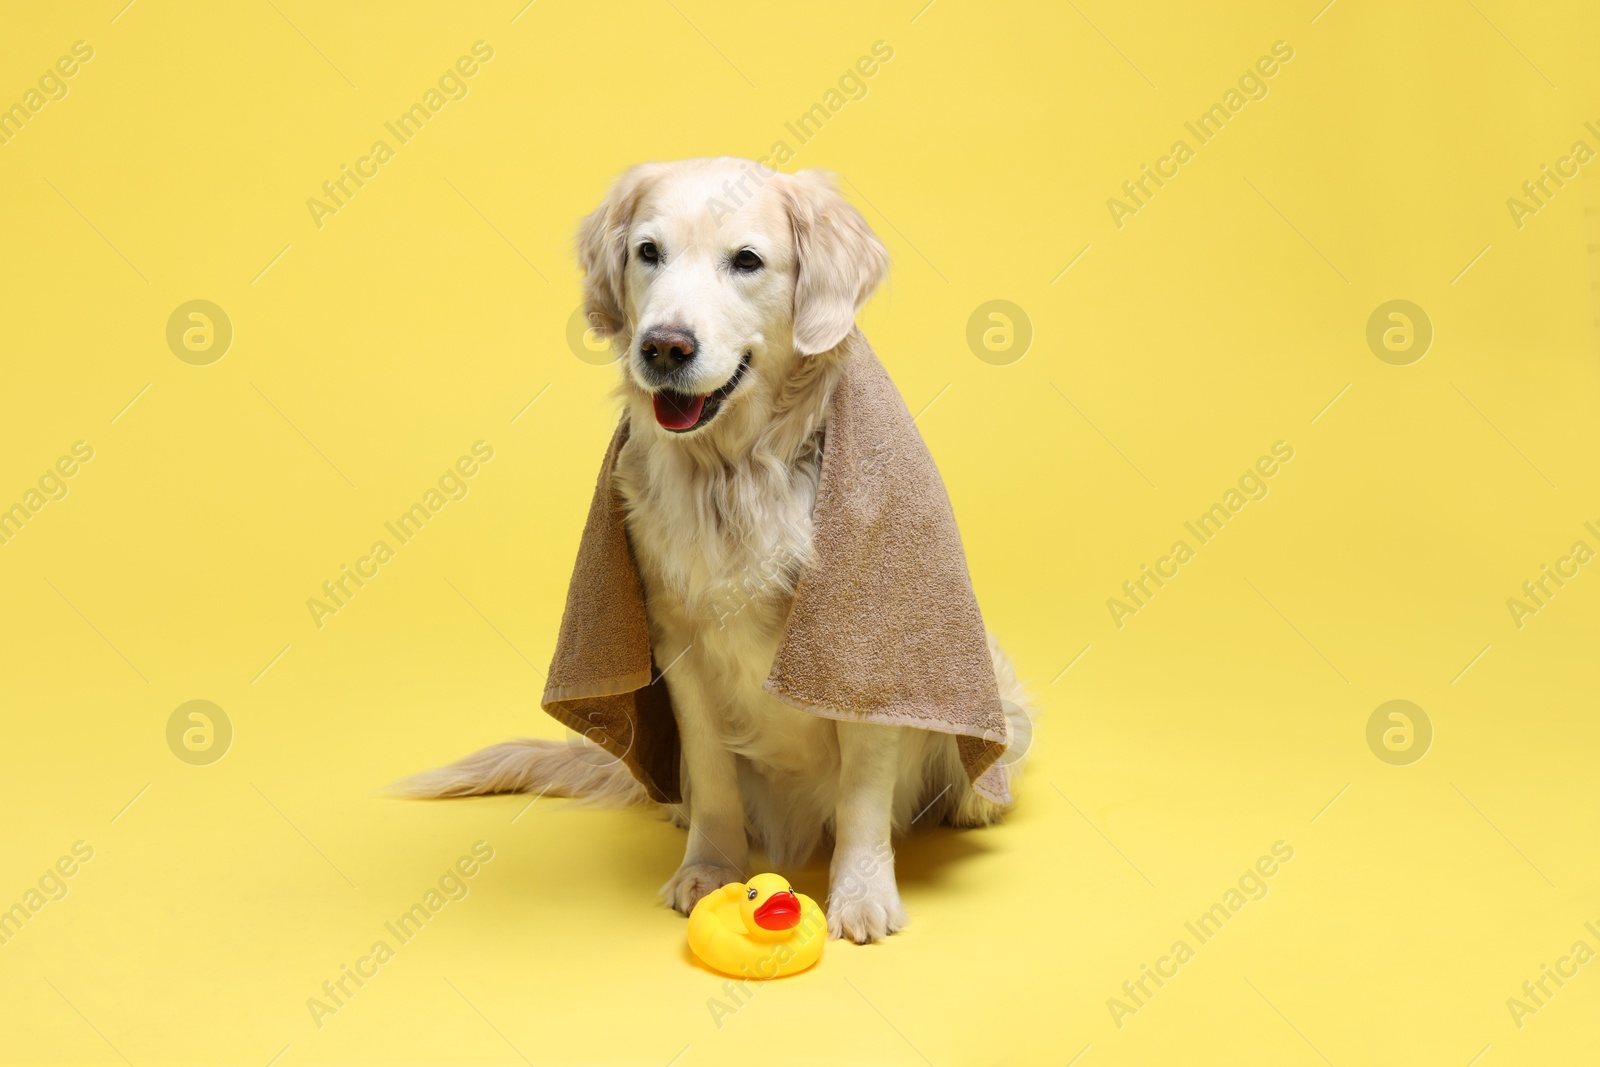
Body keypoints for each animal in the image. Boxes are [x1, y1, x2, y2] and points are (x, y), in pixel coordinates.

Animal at [393, 156, 1030, 940]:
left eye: (746, 261)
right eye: (648, 252)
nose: (665, 345)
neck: (733, 473)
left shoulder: (862, 649)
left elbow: (862, 789)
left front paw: (861, 895)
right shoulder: (675, 640)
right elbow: (712, 770)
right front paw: (710, 869)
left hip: (1000, 693)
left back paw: (973, 801)